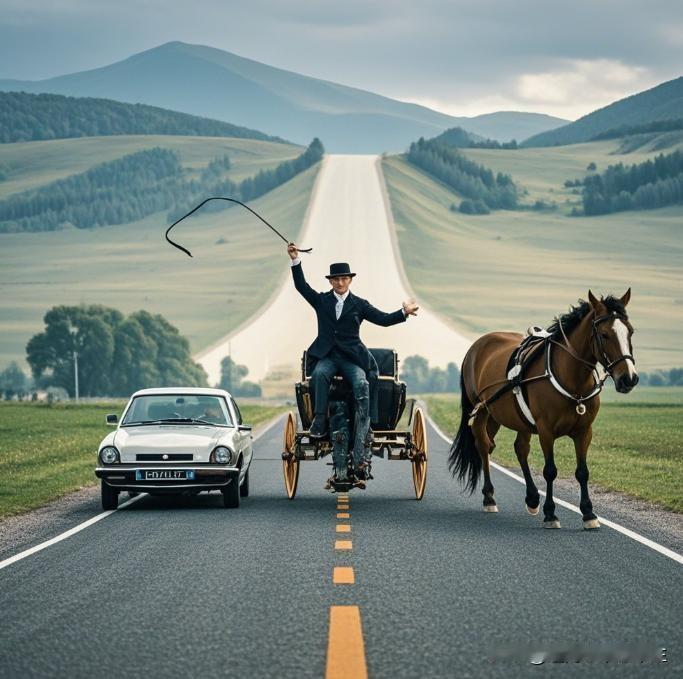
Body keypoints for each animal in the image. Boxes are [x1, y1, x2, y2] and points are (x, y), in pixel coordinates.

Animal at [452, 290, 640, 528]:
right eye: (605, 334)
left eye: (630, 332)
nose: (629, 378)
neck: (572, 379)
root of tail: (478, 346)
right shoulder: (546, 431)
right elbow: (550, 471)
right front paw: (551, 513)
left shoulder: (584, 431)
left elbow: (583, 472)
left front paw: (588, 513)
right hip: (481, 411)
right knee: (484, 446)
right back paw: (489, 498)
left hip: (506, 415)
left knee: (518, 448)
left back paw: (532, 498)